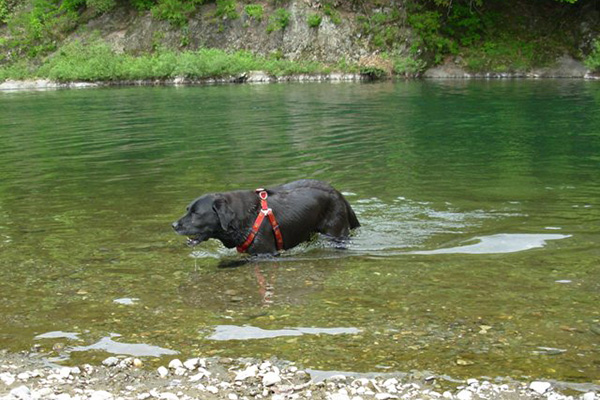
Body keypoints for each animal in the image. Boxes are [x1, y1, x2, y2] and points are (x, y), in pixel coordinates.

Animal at [173, 180, 360, 255]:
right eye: (187, 209)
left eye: (196, 213)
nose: (173, 225)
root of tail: (337, 192)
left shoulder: (266, 253)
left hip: (335, 232)